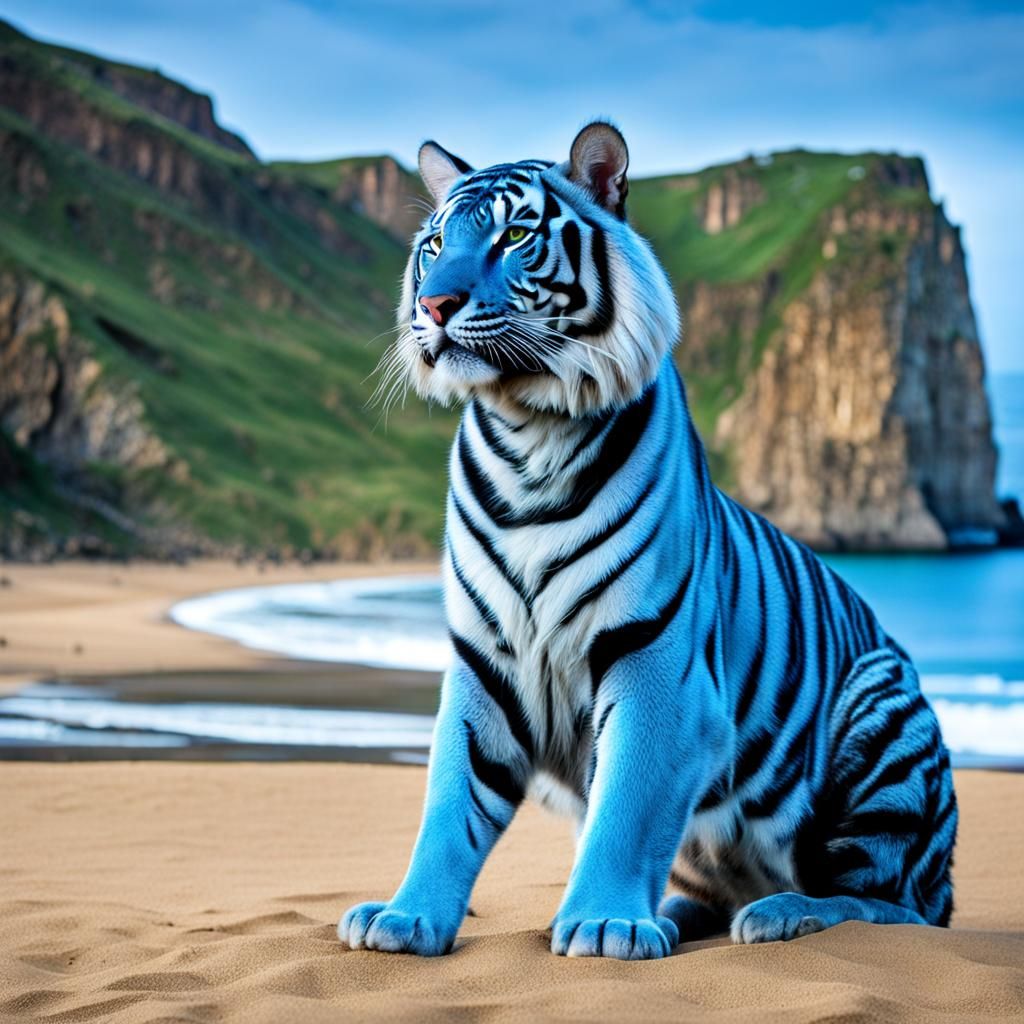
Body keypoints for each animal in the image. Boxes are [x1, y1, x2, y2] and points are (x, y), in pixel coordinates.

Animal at [338, 121, 958, 960]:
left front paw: (603, 924)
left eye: (513, 236)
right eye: (436, 244)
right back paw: (677, 912)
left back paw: (781, 913)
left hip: (884, 705)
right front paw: (405, 918)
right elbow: (449, 804)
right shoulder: (485, 665)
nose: (435, 303)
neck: (526, 435)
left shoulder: (655, 659)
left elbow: (628, 806)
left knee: (894, 906)